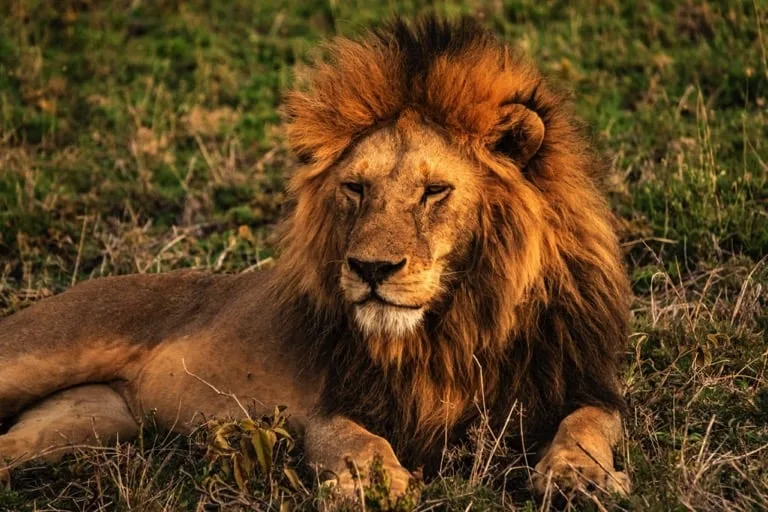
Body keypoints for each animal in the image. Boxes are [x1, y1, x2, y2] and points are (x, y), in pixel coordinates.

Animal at [0, 16, 631, 500]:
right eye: (354, 188)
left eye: (434, 192)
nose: (371, 270)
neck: (457, 324)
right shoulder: (333, 402)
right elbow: (356, 440)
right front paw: (377, 485)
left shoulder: (579, 383)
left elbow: (591, 423)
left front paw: (578, 476)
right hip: (34, 355)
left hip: (85, 422)